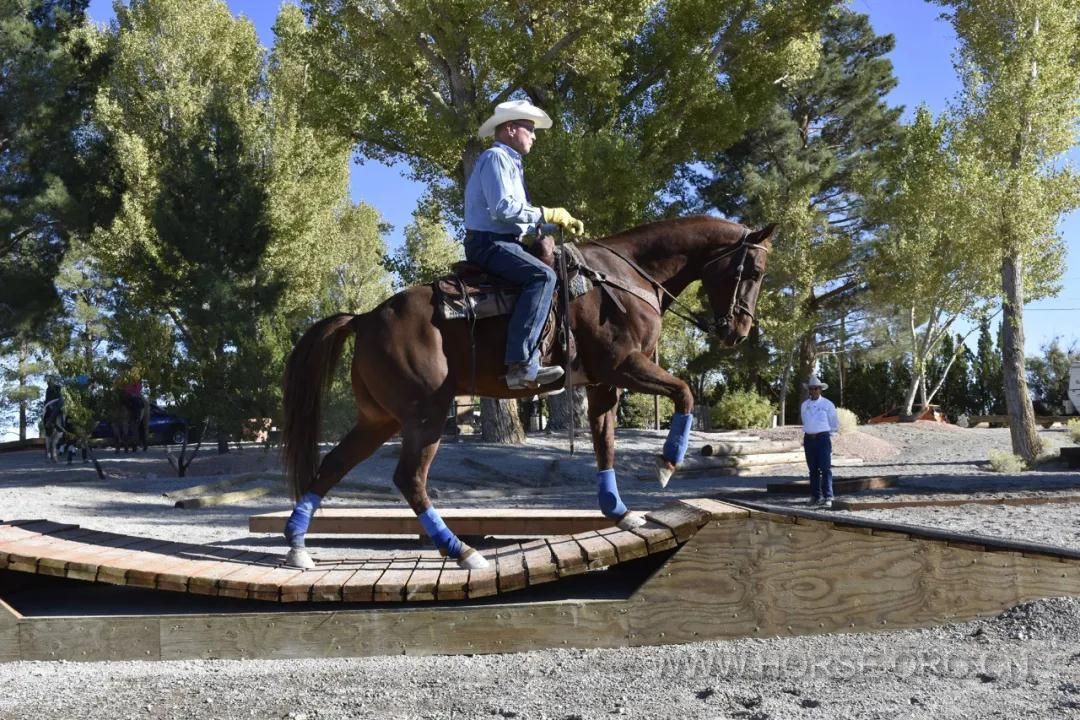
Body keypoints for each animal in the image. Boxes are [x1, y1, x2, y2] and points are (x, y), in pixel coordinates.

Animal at [274, 213, 773, 569]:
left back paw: (298, 546)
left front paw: (618, 510)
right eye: (753, 269)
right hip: (426, 414)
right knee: (409, 479)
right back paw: (461, 551)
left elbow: (606, 444)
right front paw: (667, 465)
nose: (738, 330)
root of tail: (365, 317)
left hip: (379, 419)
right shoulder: (624, 366)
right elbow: (685, 392)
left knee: (333, 467)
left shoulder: (603, 384)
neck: (625, 278)